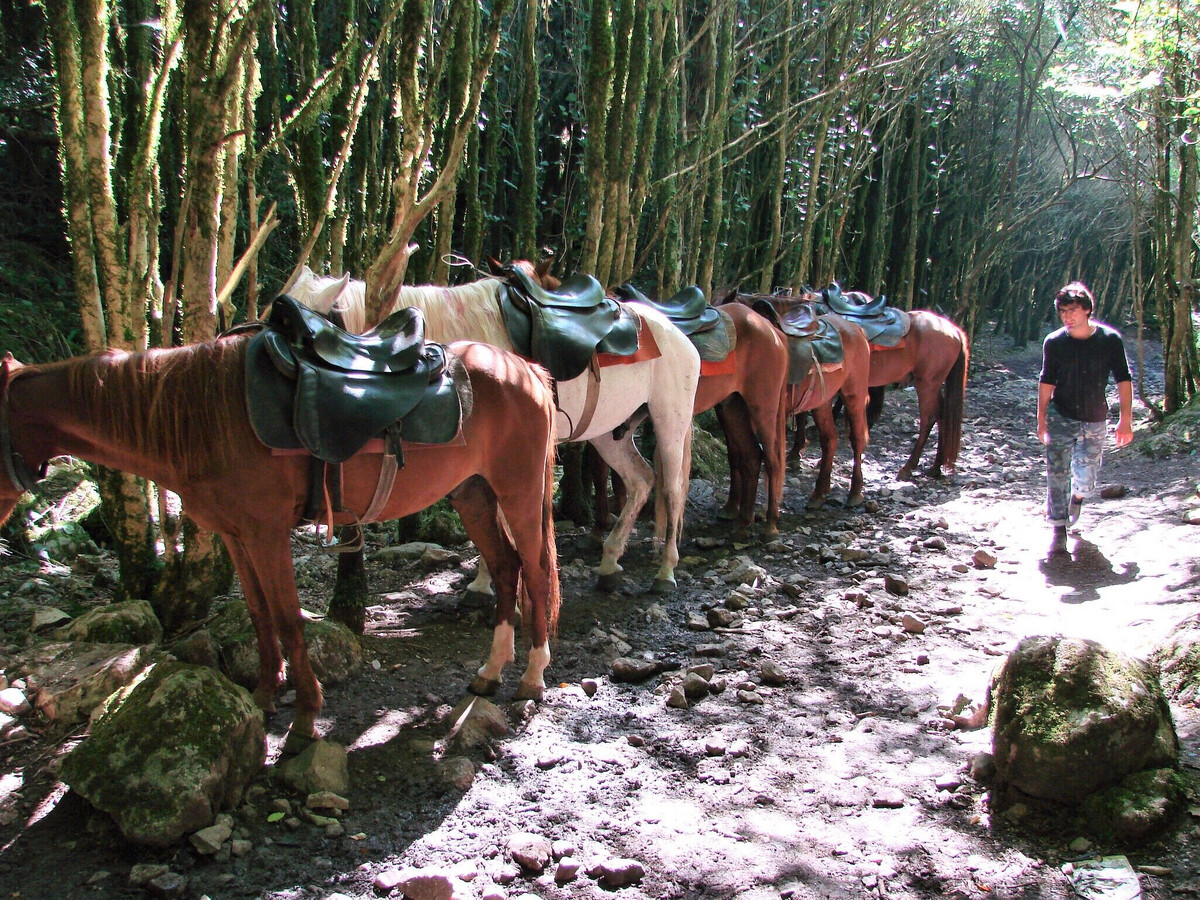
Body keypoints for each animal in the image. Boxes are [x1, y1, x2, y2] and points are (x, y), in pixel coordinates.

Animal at [0, 336, 559, 748]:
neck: (207, 417)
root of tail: (525, 368)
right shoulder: (236, 536)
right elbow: (259, 615)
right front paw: (266, 695)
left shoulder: (266, 534)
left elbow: (289, 619)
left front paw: (306, 717)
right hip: (474, 495)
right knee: (505, 568)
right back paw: (490, 671)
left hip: (518, 492)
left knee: (534, 571)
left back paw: (532, 678)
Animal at [288, 264, 700, 595]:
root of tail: (678, 335)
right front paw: (484, 583)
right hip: (609, 432)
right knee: (641, 481)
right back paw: (610, 562)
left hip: (671, 421)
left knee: (673, 488)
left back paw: (665, 572)